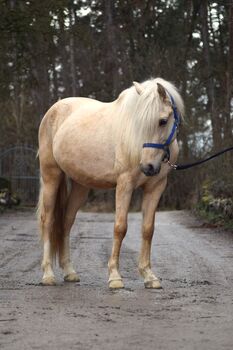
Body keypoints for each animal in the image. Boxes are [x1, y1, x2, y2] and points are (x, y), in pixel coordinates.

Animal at [37, 79, 184, 290]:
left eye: (163, 121)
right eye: (139, 124)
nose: (147, 167)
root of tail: (54, 109)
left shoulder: (156, 187)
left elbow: (148, 229)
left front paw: (149, 276)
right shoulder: (125, 184)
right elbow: (120, 227)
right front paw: (115, 277)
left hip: (80, 186)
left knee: (66, 222)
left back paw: (69, 272)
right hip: (51, 177)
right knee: (48, 221)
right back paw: (48, 274)